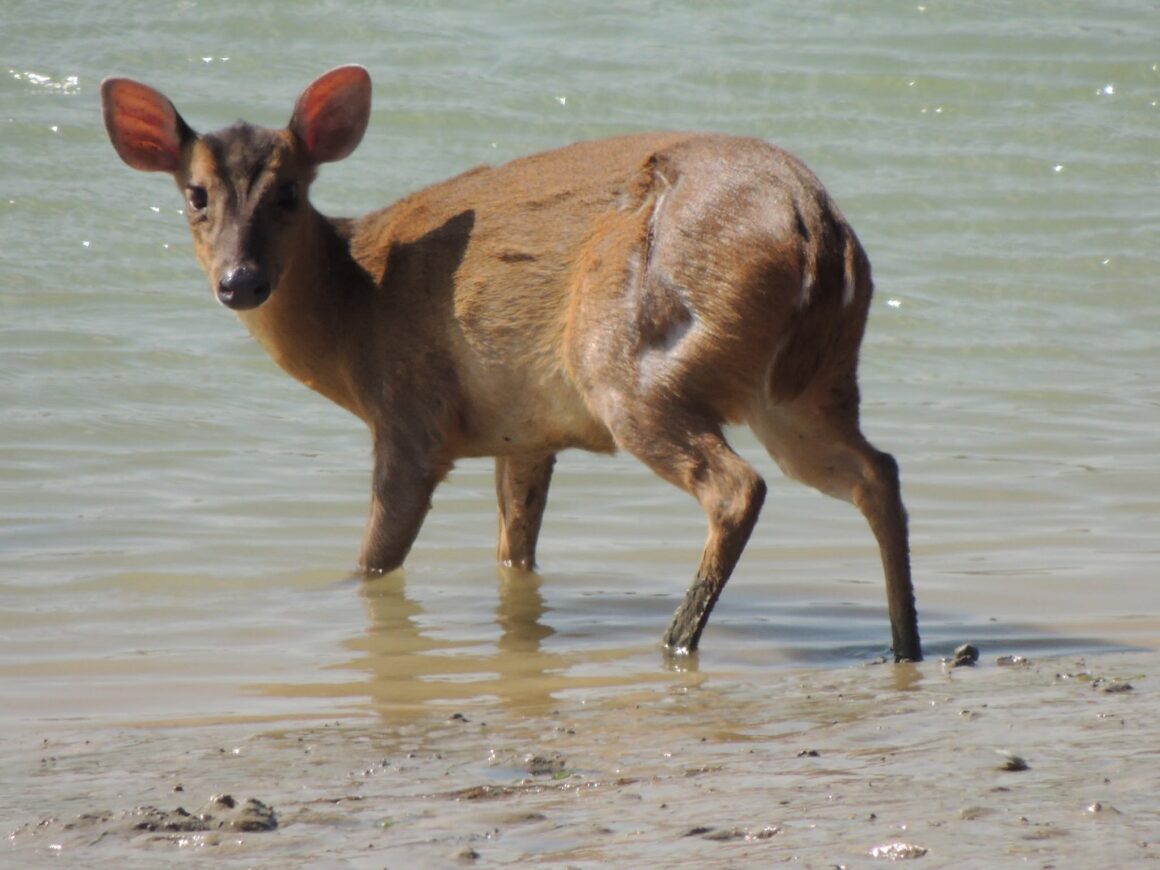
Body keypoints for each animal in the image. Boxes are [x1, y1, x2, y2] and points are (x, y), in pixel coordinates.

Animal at [100, 65, 921, 662]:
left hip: (629, 363)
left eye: (290, 193)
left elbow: (373, 559)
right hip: (811, 384)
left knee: (736, 487)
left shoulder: (412, 417)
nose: (240, 280)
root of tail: (814, 225)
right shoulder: (523, 432)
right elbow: (514, 552)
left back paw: (675, 644)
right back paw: (905, 647)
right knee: (876, 471)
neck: (356, 310)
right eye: (195, 195)